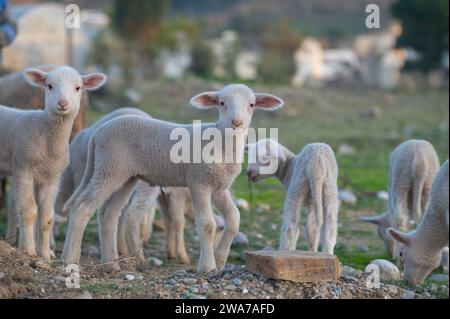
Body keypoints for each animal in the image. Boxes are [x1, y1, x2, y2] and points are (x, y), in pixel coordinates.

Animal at [0, 66, 106, 258]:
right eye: (49, 86)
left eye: (78, 88)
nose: (63, 103)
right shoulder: (23, 168)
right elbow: (29, 211)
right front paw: (29, 251)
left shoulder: (50, 178)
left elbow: (47, 217)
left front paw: (45, 255)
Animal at [61, 84, 284, 272]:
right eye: (222, 103)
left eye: (252, 104)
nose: (236, 122)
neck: (220, 141)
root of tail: (97, 133)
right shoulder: (199, 182)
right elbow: (207, 224)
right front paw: (208, 266)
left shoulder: (219, 187)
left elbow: (234, 219)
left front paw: (221, 260)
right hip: (109, 169)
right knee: (82, 208)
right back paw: (70, 258)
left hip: (125, 176)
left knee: (110, 214)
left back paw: (111, 264)